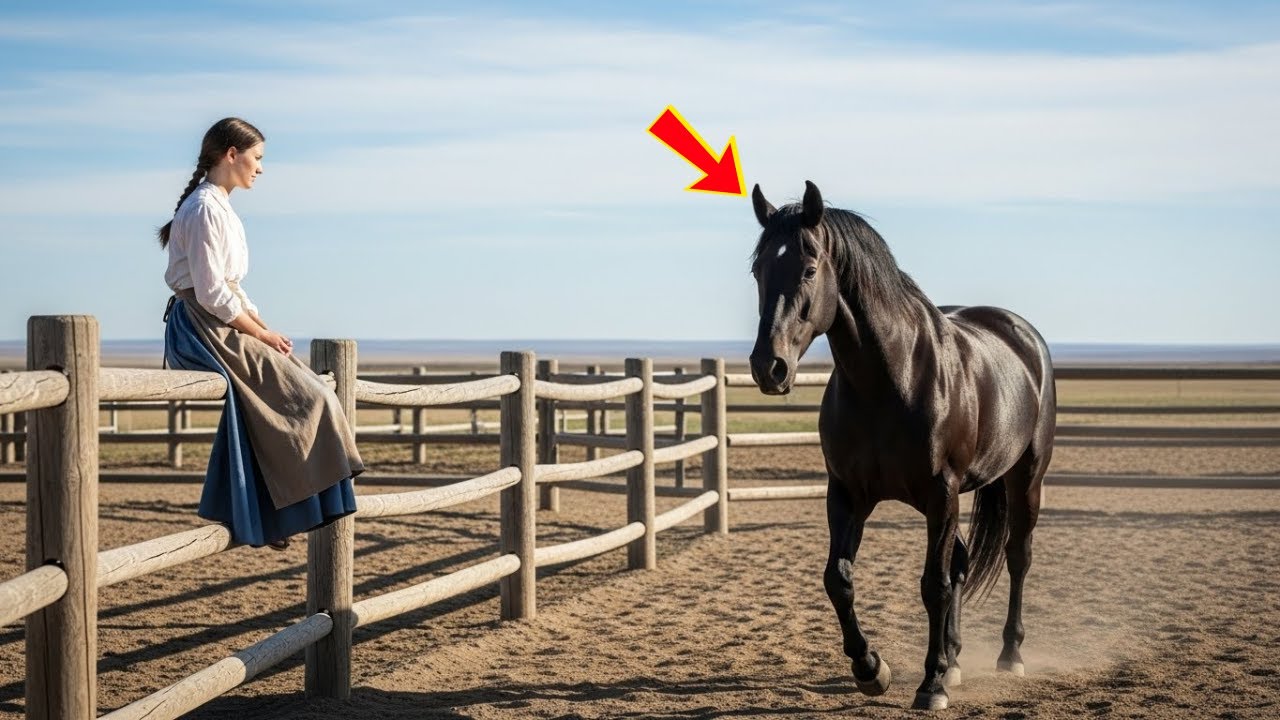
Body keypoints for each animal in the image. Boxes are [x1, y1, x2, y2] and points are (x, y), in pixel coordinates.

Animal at [747, 181, 1056, 711]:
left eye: (808, 268)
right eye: (757, 270)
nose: (770, 367)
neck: (891, 378)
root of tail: (1022, 335)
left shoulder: (941, 493)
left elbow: (933, 585)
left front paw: (930, 685)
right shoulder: (847, 494)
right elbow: (838, 579)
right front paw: (872, 668)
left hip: (1025, 478)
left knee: (1017, 556)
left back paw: (1009, 655)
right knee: (961, 562)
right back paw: (954, 660)